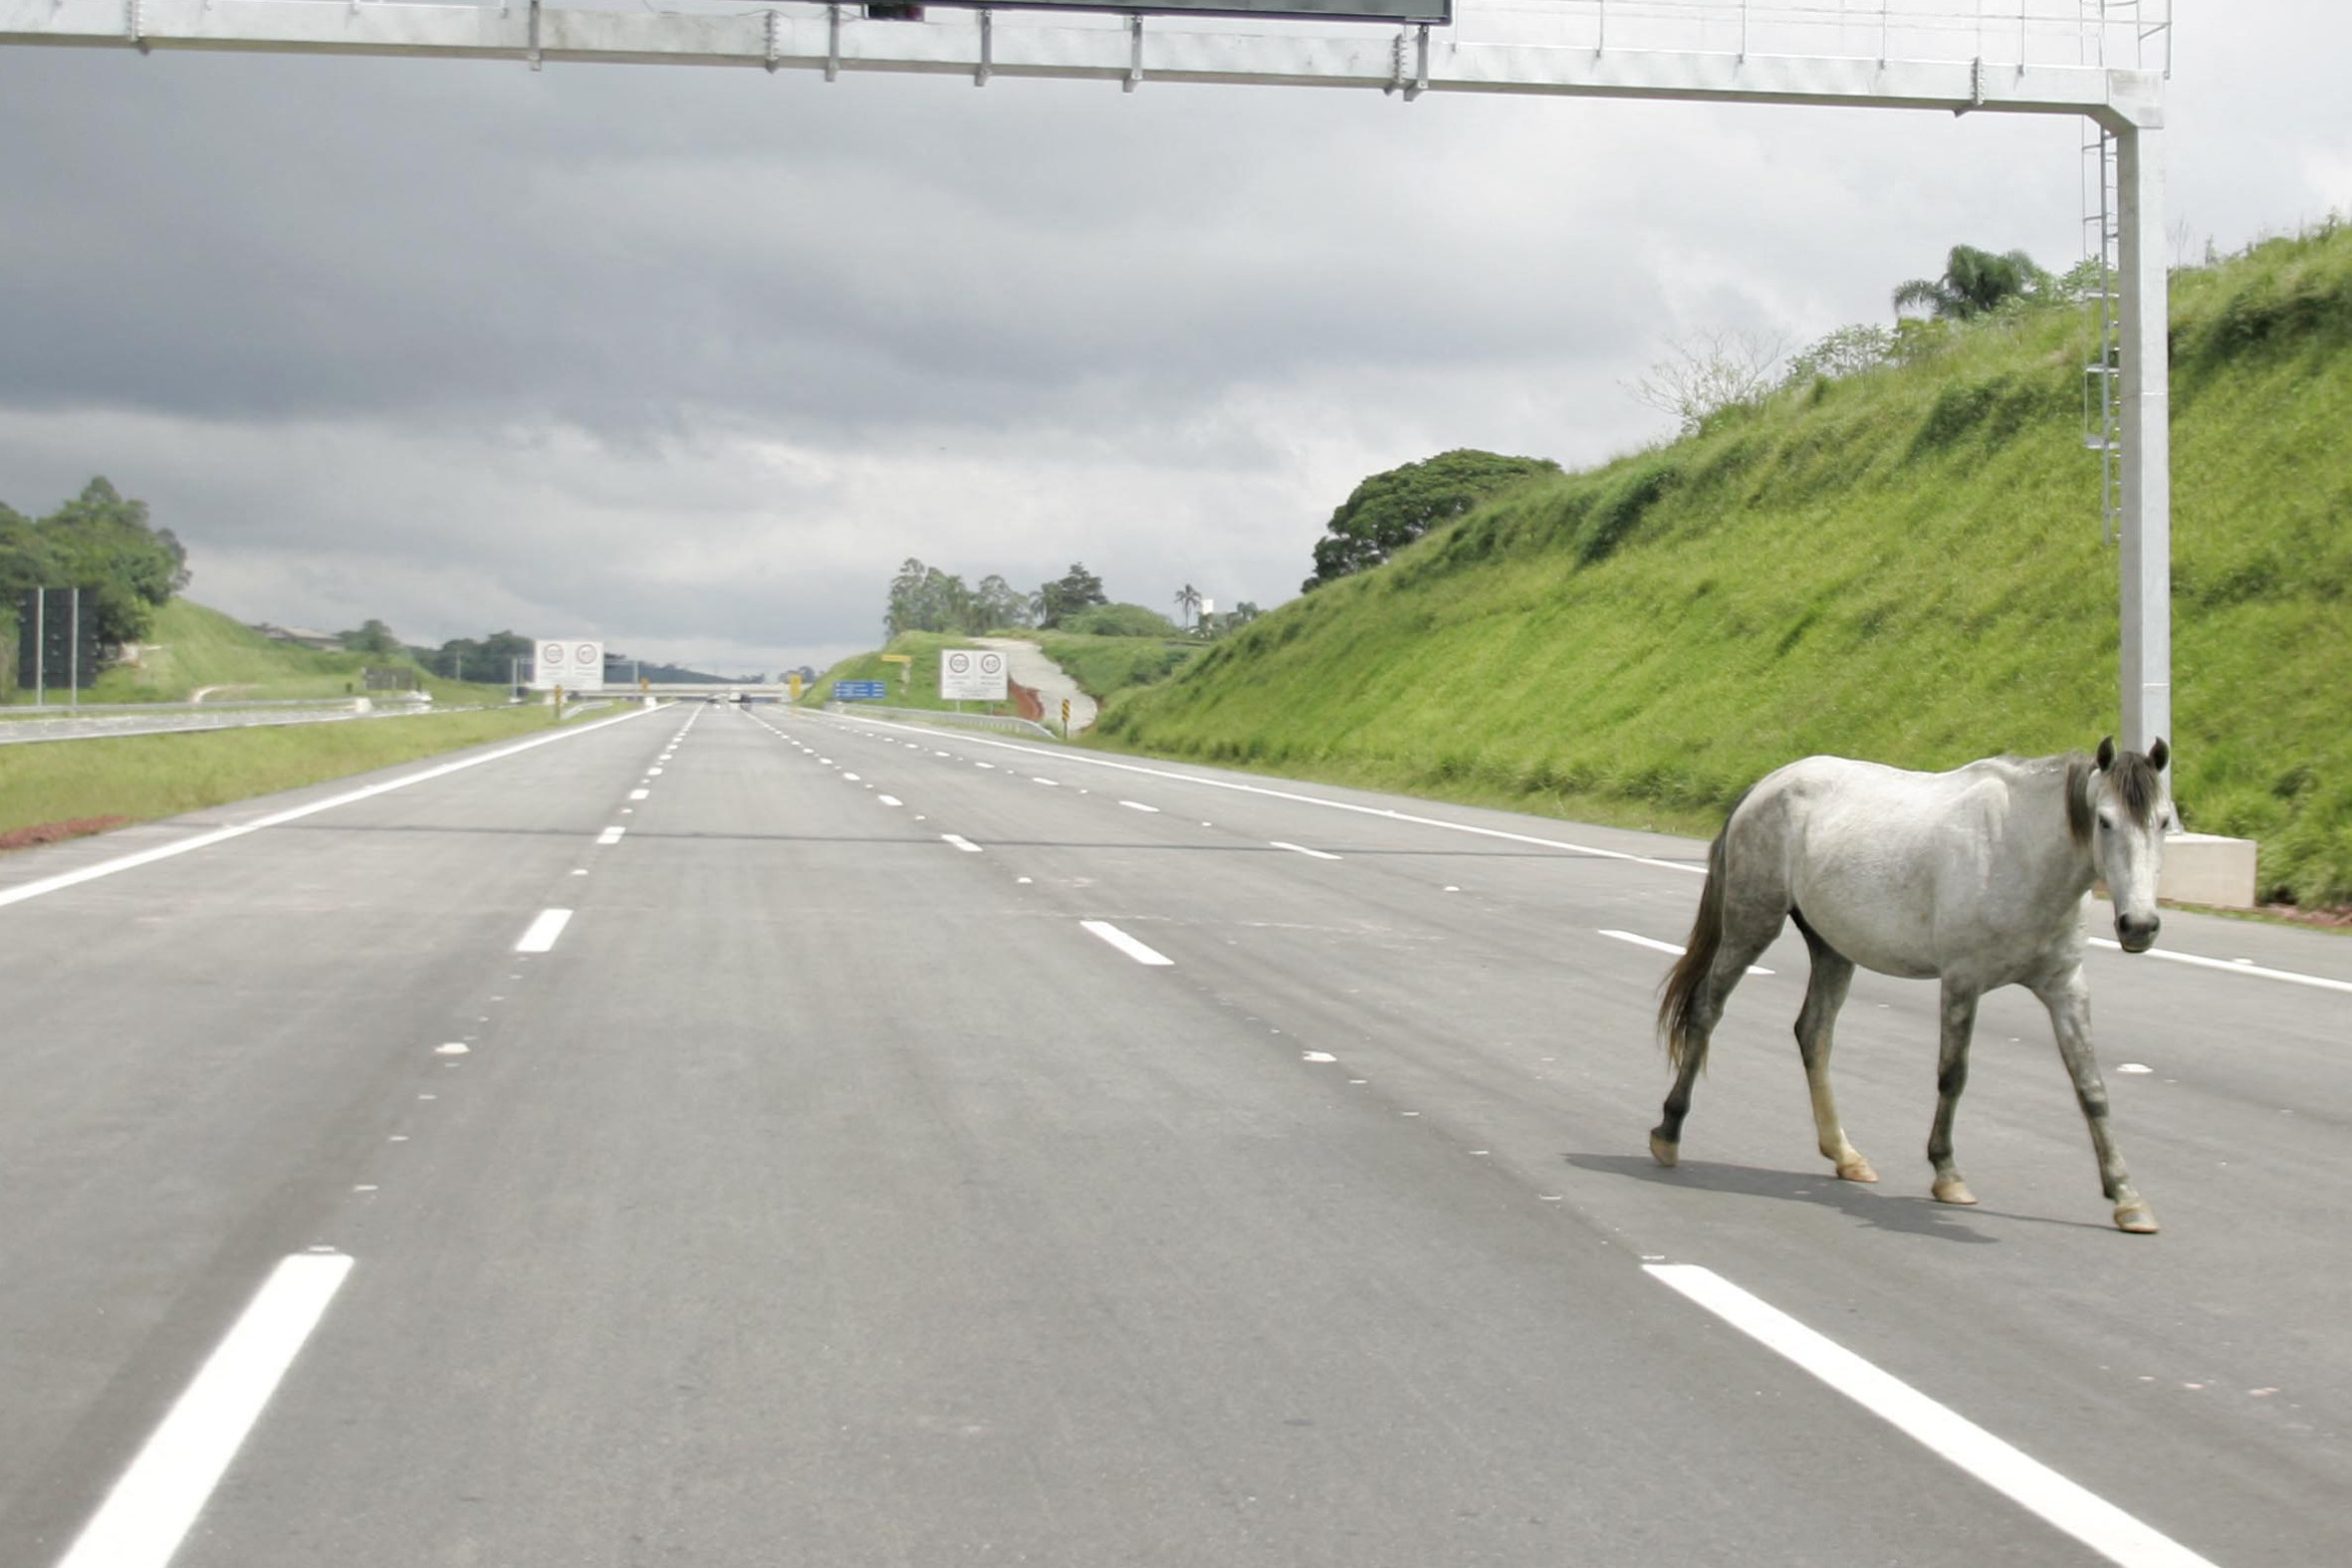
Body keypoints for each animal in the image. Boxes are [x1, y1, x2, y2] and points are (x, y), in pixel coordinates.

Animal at [1655, 738, 2164, 1240]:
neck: (2018, 848)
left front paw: (2127, 1197)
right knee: (1706, 1009)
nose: (2139, 926)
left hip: (1832, 948)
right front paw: (1947, 1174)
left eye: (2162, 821)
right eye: (2104, 821)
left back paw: (1845, 1155)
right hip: (1752, 923)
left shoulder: (2065, 988)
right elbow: (1952, 1075)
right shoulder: (1962, 980)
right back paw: (1668, 1132)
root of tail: (1766, 785)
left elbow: (2091, 1087)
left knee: (1813, 1034)